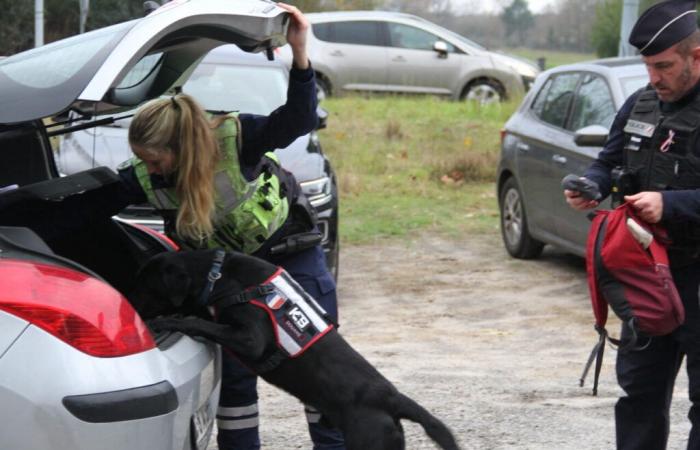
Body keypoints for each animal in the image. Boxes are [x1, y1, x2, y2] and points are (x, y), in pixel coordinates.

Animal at [130, 250, 460, 450]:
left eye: (145, 285)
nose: (129, 304)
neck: (219, 275)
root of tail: (392, 398)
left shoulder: (250, 339)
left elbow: (201, 322)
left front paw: (169, 320)